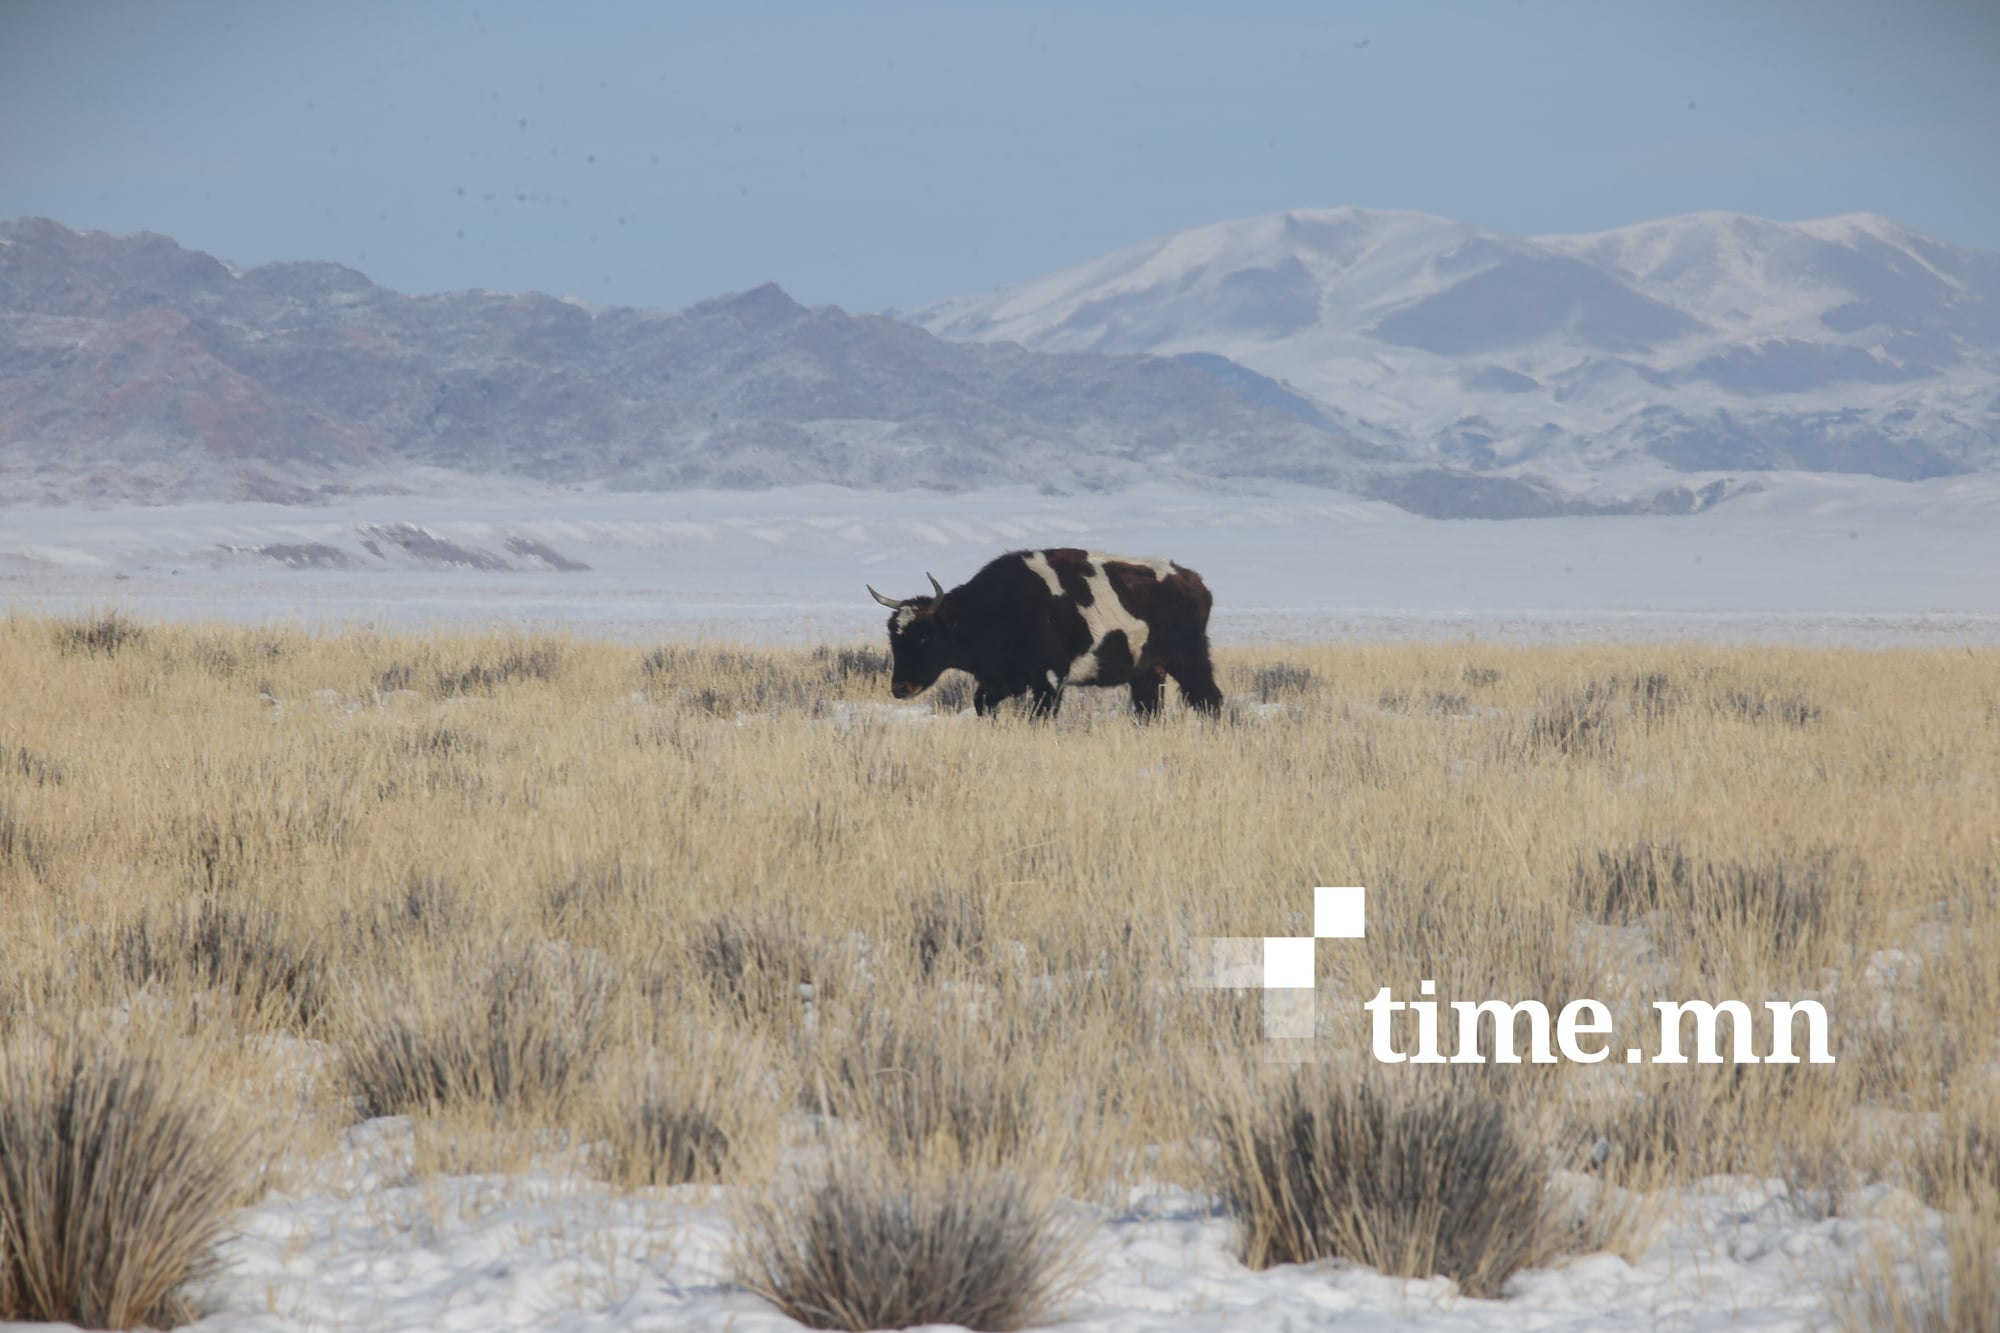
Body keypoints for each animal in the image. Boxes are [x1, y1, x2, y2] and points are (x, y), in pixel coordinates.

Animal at [868, 544, 1224, 716]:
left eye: (925, 636)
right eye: (893, 639)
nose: (901, 687)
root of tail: (1194, 582)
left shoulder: (1050, 681)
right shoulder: (1000, 682)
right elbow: (983, 705)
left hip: (1189, 662)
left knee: (1210, 700)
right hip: (1147, 674)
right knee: (1150, 711)